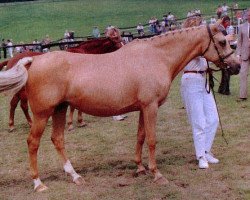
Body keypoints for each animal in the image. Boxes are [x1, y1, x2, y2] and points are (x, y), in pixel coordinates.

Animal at [0, 23, 240, 191]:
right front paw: (157, 174)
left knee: (57, 139)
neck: (156, 56)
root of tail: (34, 61)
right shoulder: (151, 107)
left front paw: (140, 167)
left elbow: (141, 136)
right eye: (222, 42)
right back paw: (38, 183)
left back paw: (75, 176)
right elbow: (151, 140)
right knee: (33, 142)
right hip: (42, 114)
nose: (236, 66)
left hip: (60, 109)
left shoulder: (143, 108)